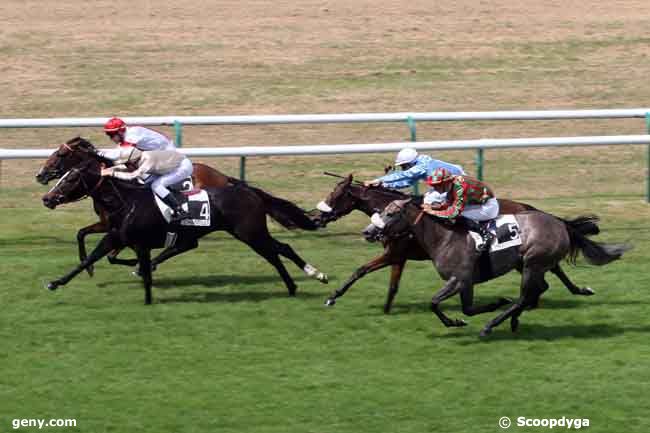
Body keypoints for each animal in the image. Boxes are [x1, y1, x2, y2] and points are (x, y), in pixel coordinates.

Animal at [39, 159, 326, 304]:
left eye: (70, 178)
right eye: (61, 176)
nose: (46, 198)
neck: (127, 202)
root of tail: (248, 190)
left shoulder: (138, 243)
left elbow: (142, 271)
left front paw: (147, 297)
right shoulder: (115, 236)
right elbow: (90, 258)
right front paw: (55, 282)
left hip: (250, 233)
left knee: (277, 252)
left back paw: (309, 277)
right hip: (242, 234)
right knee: (279, 252)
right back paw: (301, 282)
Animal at [314, 174, 596, 312]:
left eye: (336, 195)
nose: (317, 216)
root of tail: (528, 207)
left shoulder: (395, 254)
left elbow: (359, 270)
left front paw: (332, 297)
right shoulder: (398, 256)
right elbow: (392, 286)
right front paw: (386, 309)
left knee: (553, 268)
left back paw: (569, 292)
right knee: (551, 269)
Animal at [362, 199, 632, 338]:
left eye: (391, 213)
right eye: (381, 211)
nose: (368, 232)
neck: (443, 236)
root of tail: (559, 222)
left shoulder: (459, 278)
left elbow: (434, 302)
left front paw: (465, 317)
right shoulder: (466, 282)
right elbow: (467, 309)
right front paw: (462, 319)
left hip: (532, 263)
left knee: (525, 296)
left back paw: (493, 324)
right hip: (531, 263)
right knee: (540, 288)